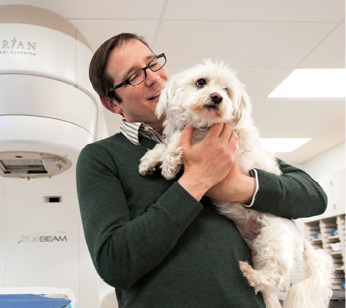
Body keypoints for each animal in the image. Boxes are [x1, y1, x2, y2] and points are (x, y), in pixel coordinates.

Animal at [139, 60, 334, 308]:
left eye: (226, 91)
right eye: (201, 82)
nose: (216, 97)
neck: (203, 125)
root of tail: (302, 241)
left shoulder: (207, 139)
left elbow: (174, 142)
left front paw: (169, 163)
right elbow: (163, 145)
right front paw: (150, 161)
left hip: (274, 237)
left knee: (274, 275)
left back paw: (250, 274)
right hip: (260, 248)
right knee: (270, 291)